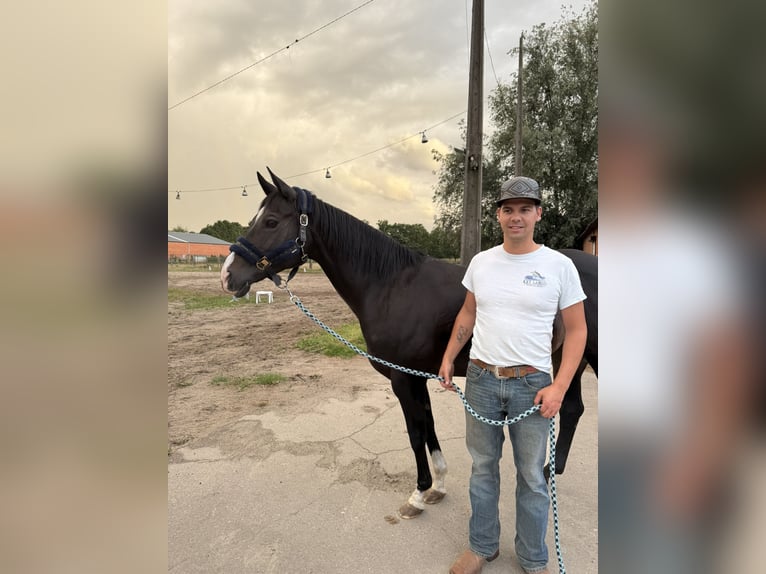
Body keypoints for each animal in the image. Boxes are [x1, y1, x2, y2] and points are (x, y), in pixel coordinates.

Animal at [221, 168, 598, 518]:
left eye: (271, 221)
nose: (228, 275)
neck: (391, 285)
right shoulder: (418, 378)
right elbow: (428, 426)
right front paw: (438, 486)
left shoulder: (403, 379)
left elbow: (415, 433)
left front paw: (418, 494)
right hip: (568, 361)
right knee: (572, 408)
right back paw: (549, 473)